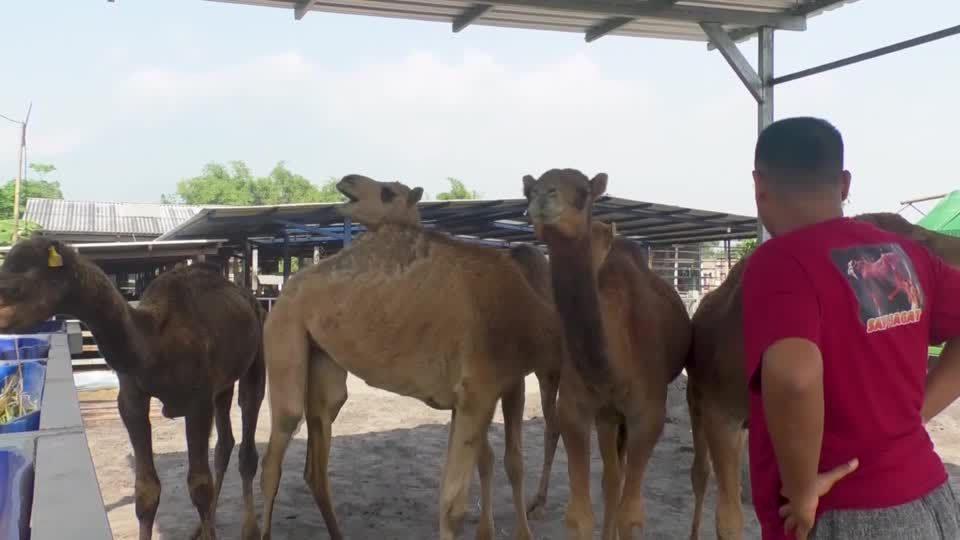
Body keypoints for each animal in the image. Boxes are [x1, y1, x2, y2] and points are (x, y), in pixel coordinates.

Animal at [0, 239, 265, 540]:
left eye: (13, 288)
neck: (153, 342)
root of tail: (249, 297)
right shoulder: (131, 399)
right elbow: (146, 491)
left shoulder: (198, 401)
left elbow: (200, 487)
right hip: (223, 384)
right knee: (224, 443)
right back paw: (202, 527)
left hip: (256, 354)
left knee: (248, 428)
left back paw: (252, 530)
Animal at [258, 174, 567, 540]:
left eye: (388, 192)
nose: (346, 181)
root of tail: (285, 292)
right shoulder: (481, 390)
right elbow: (458, 499)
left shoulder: (472, 396)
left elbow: (467, 478)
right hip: (284, 331)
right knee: (276, 451)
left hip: (323, 364)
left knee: (315, 462)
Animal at [522, 168, 692, 539]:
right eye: (529, 189)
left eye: (584, 191)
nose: (542, 198)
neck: (610, 367)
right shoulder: (578, 409)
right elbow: (579, 514)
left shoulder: (648, 415)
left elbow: (632, 516)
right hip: (607, 415)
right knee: (612, 478)